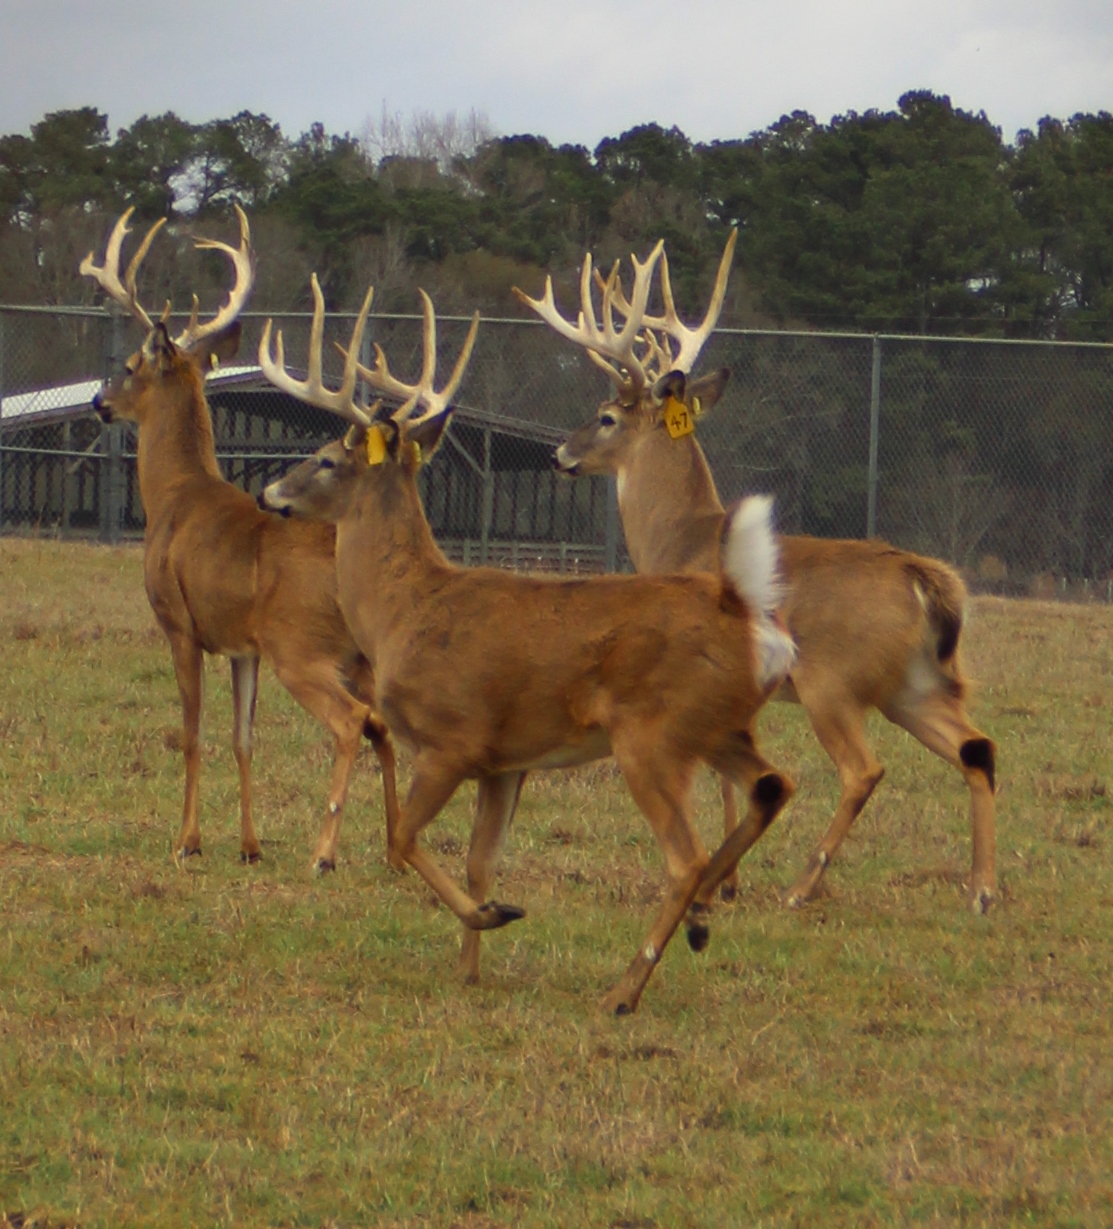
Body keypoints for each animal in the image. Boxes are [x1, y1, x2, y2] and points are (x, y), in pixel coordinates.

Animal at [81, 207, 400, 872]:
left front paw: (188, 840)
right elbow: (242, 739)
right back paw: (394, 849)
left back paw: (326, 853)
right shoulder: (241, 645)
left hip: (299, 648)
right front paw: (250, 846)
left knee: (352, 722)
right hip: (353, 657)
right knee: (383, 725)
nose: (99, 401)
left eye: (130, 367)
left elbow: (193, 735)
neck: (173, 498)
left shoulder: (179, 623)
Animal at [256, 272, 798, 1015]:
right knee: (774, 786)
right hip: (721, 727)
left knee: (683, 855)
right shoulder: (506, 762)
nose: (268, 490)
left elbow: (403, 837)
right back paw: (699, 921)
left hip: (652, 735)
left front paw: (493, 916)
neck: (405, 609)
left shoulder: (452, 739)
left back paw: (625, 987)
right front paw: (469, 965)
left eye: (328, 458)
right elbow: (480, 859)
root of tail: (745, 613)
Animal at [516, 231, 997, 914]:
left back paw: (801, 886)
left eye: (607, 416)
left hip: (834, 680)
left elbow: (721, 776)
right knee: (976, 749)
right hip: (915, 683)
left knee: (865, 769)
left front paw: (723, 881)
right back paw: (980, 890)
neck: (687, 539)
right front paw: (728, 877)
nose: (560, 454)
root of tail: (924, 580)